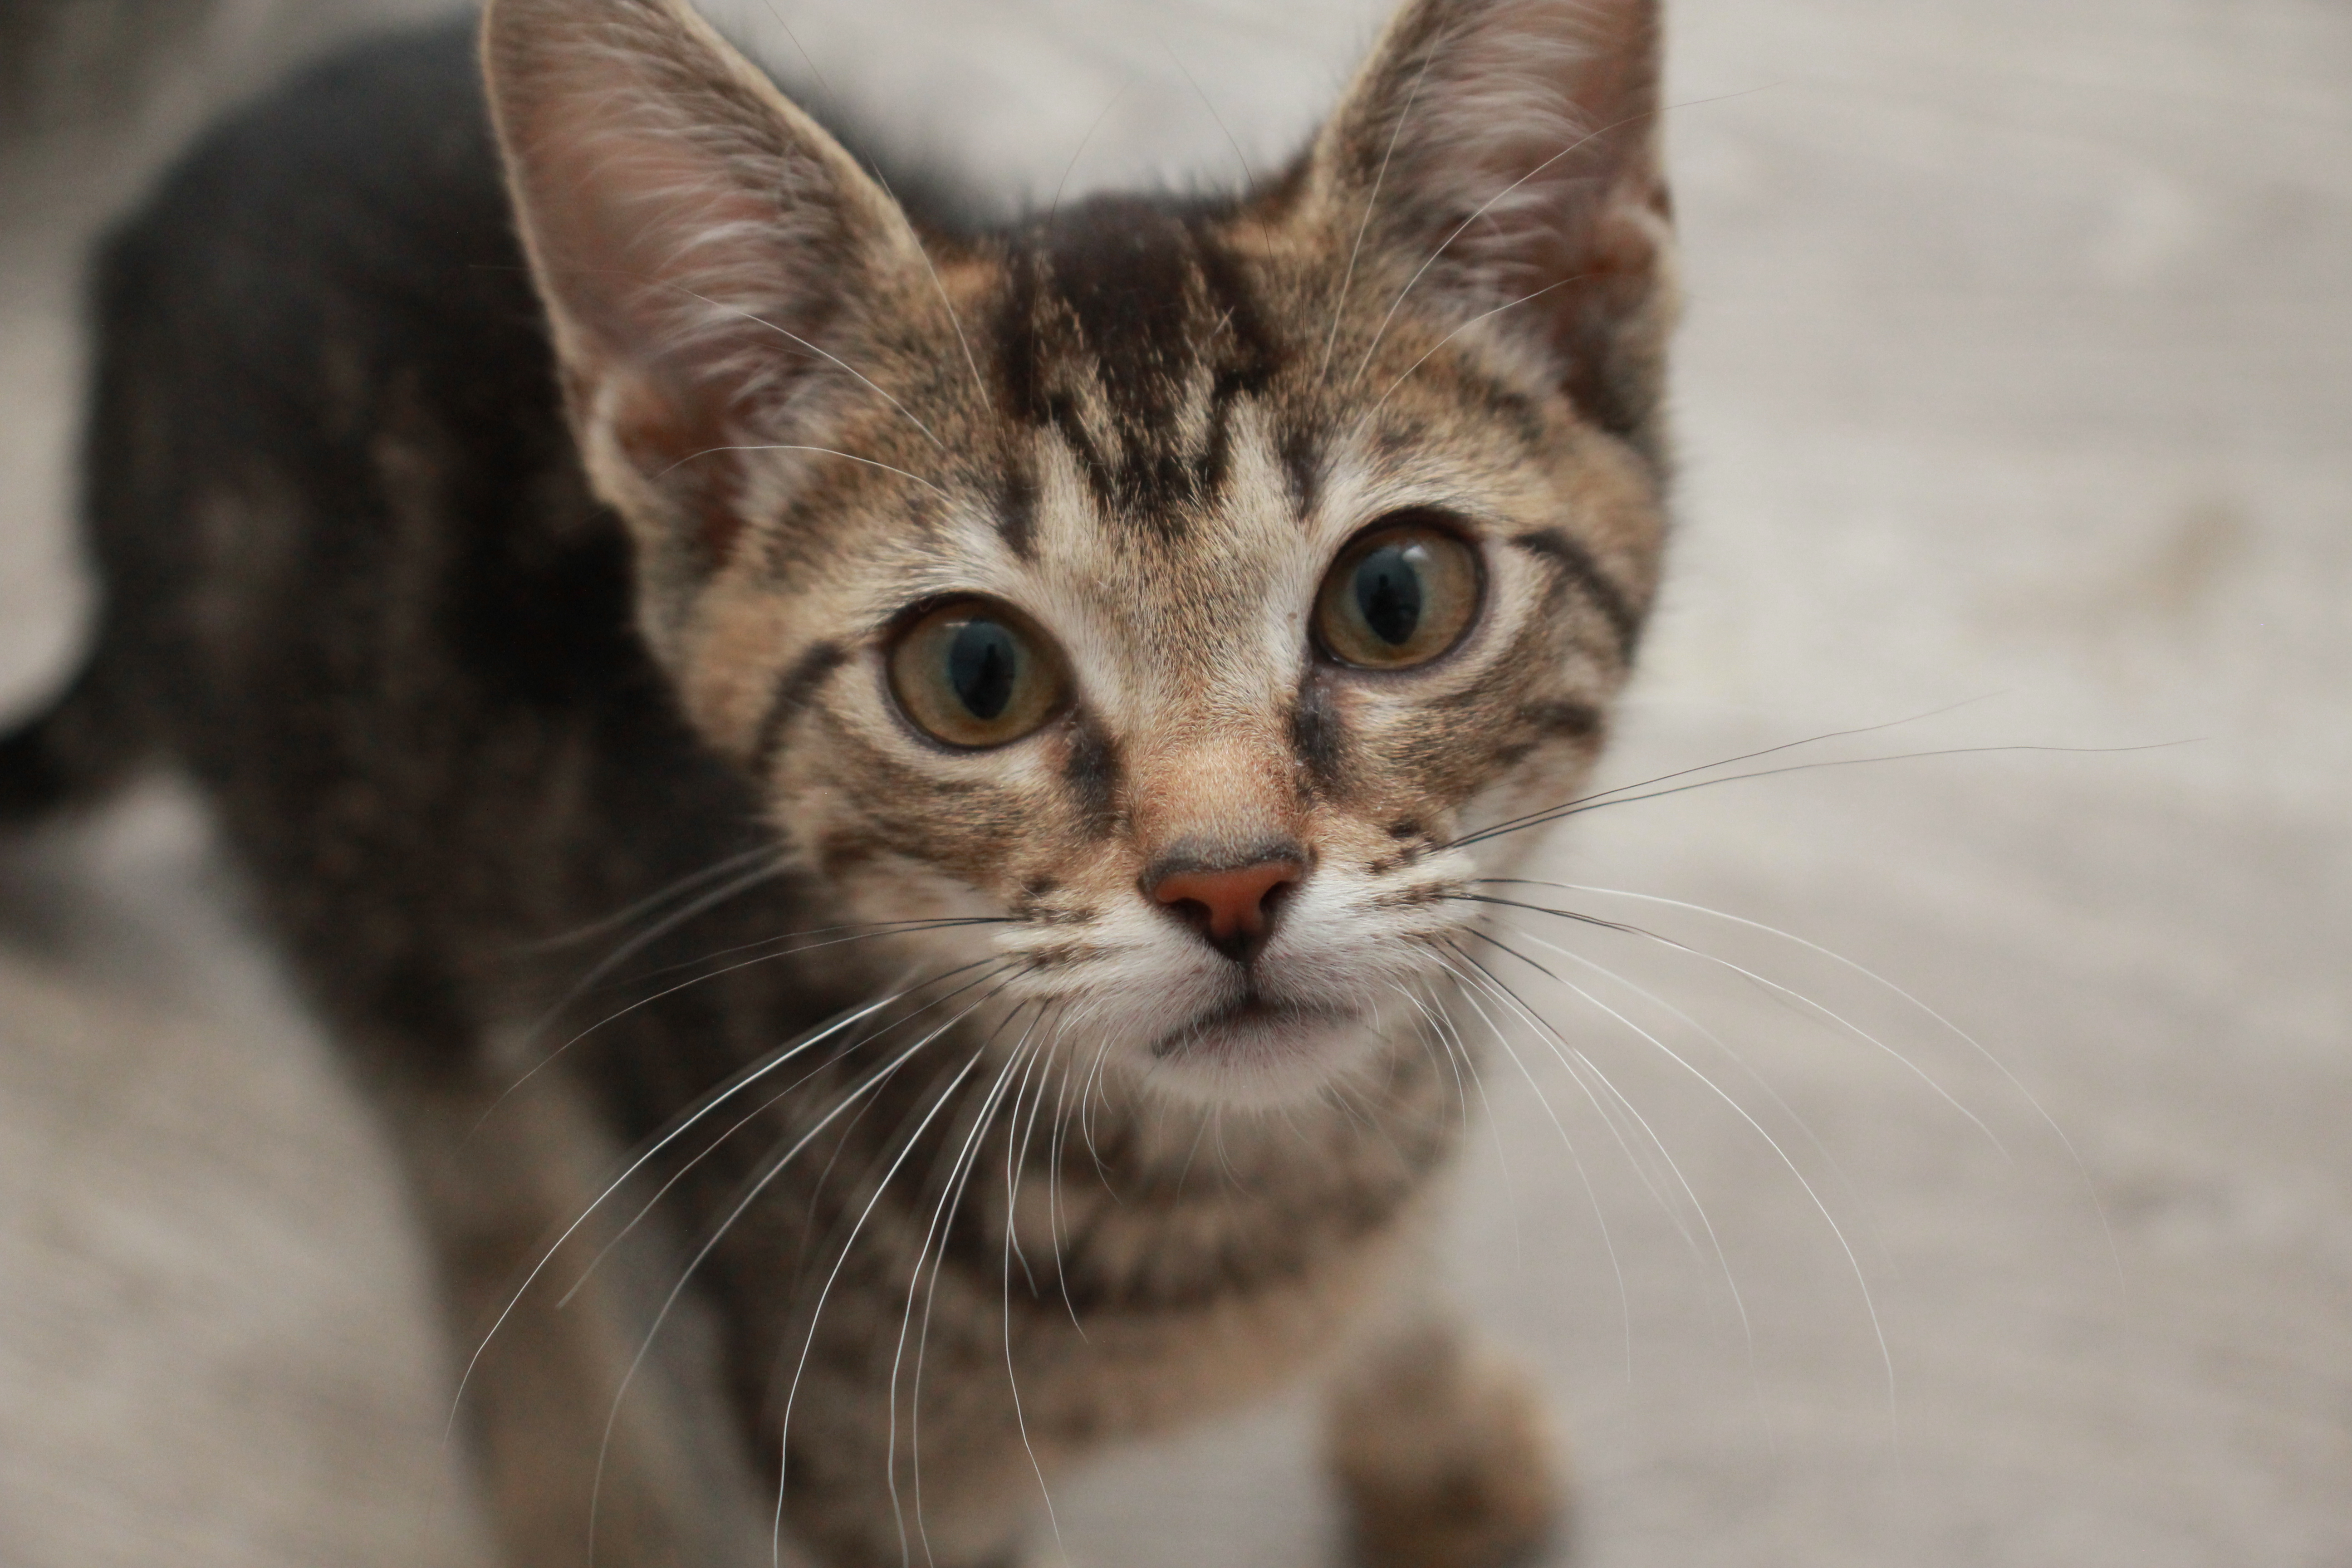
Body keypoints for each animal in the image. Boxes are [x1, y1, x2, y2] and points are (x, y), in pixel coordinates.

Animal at [0, 0, 1675, 1561]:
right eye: (975, 676)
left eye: (1396, 597)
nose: (1230, 879)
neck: (1250, 1191)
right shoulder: (854, 1459)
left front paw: (1426, 1417)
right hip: (358, 866)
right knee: (480, 1180)